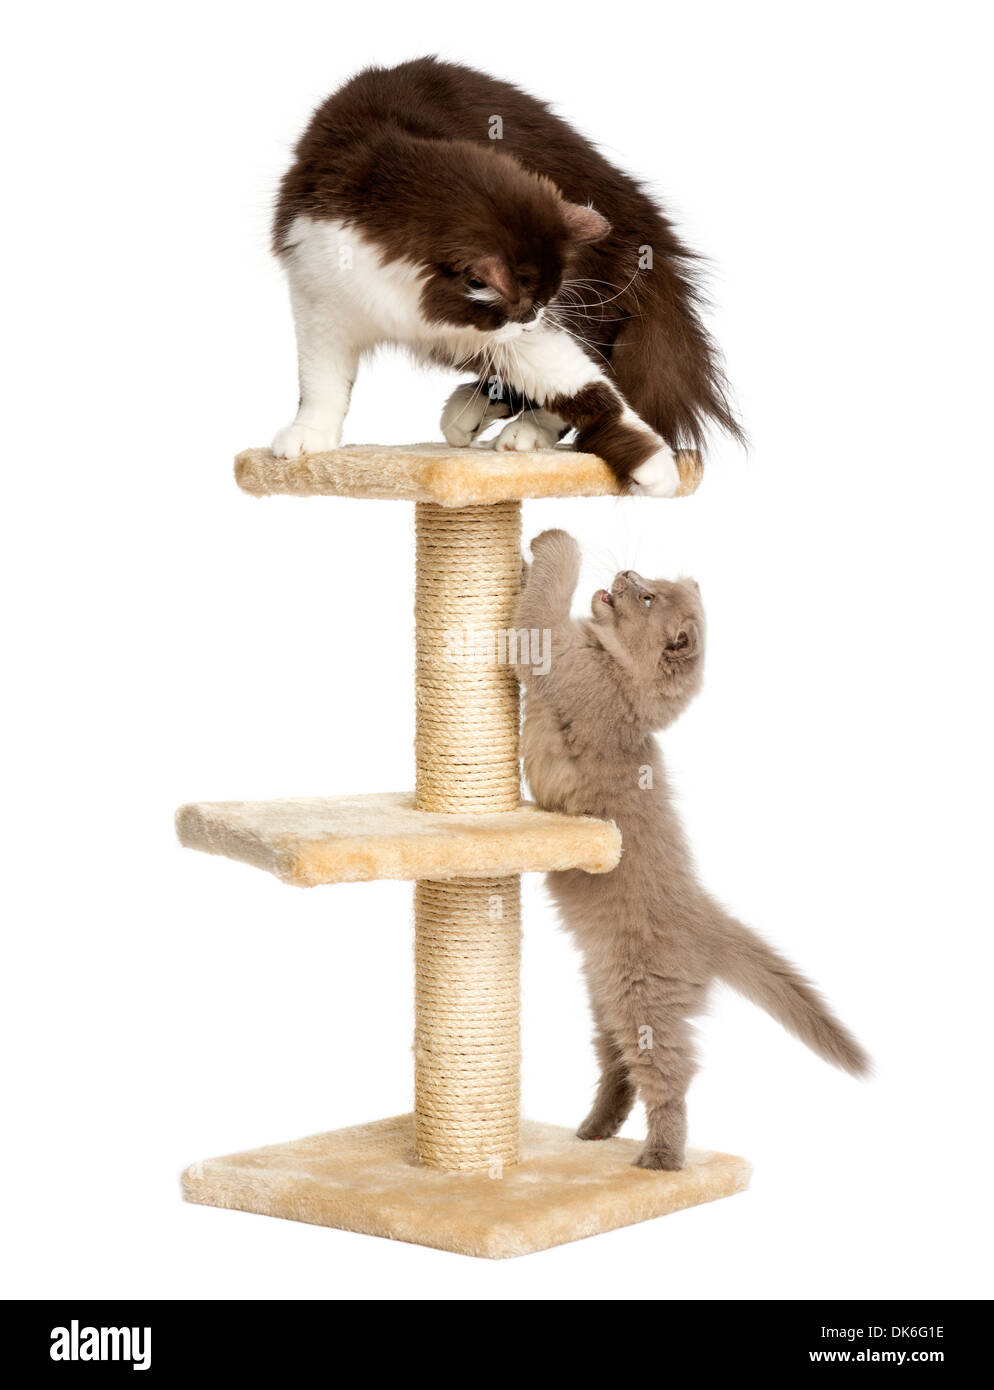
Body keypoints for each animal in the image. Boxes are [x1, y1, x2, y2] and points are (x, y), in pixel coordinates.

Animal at [269, 56, 739, 497]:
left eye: (540, 305)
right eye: (524, 305)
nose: (532, 320)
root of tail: (648, 228)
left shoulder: (527, 332)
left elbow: (585, 387)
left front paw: (657, 466)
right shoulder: (319, 295)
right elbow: (322, 381)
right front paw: (308, 438)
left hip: (596, 297)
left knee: (596, 359)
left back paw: (519, 429)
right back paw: (470, 413)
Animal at [517, 530, 867, 1173]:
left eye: (647, 597)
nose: (627, 573)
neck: (620, 679)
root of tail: (706, 916)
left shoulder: (552, 651)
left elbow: (546, 600)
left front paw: (553, 541)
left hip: (643, 1001)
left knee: (669, 1080)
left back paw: (659, 1162)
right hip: (604, 999)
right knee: (620, 1072)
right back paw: (592, 1133)